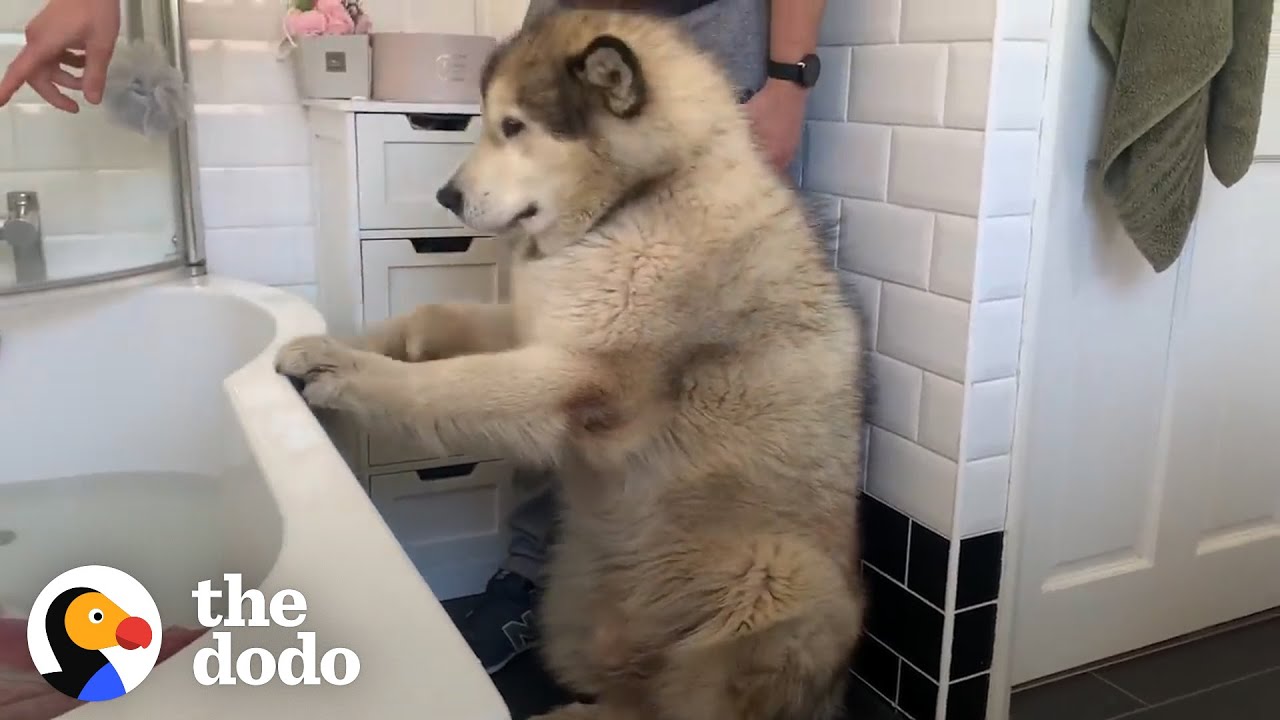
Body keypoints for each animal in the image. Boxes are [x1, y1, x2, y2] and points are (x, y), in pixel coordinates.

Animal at [276, 8, 870, 712]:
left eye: (513, 127)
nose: (445, 197)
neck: (635, 202)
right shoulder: (535, 327)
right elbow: (432, 320)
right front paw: (353, 337)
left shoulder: (576, 376)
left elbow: (445, 386)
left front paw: (342, 369)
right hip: (570, 611)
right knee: (626, 696)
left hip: (775, 582)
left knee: (666, 709)